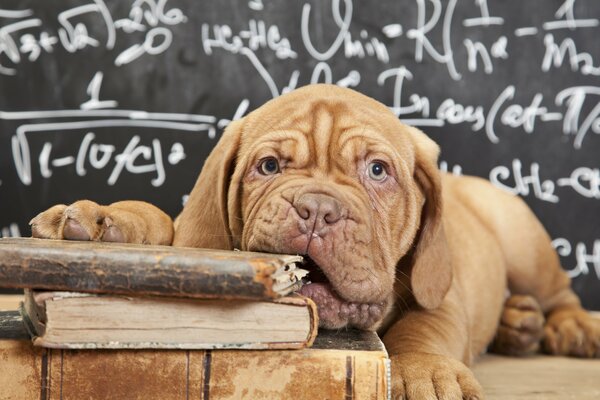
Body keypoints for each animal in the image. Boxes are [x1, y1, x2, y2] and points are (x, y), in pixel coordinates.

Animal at [31, 83, 600, 396]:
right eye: (268, 166)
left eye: (378, 171)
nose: (318, 210)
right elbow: (163, 225)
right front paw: (99, 222)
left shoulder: (444, 297)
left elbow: (423, 328)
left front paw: (425, 373)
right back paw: (519, 324)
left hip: (524, 238)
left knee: (560, 293)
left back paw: (564, 327)